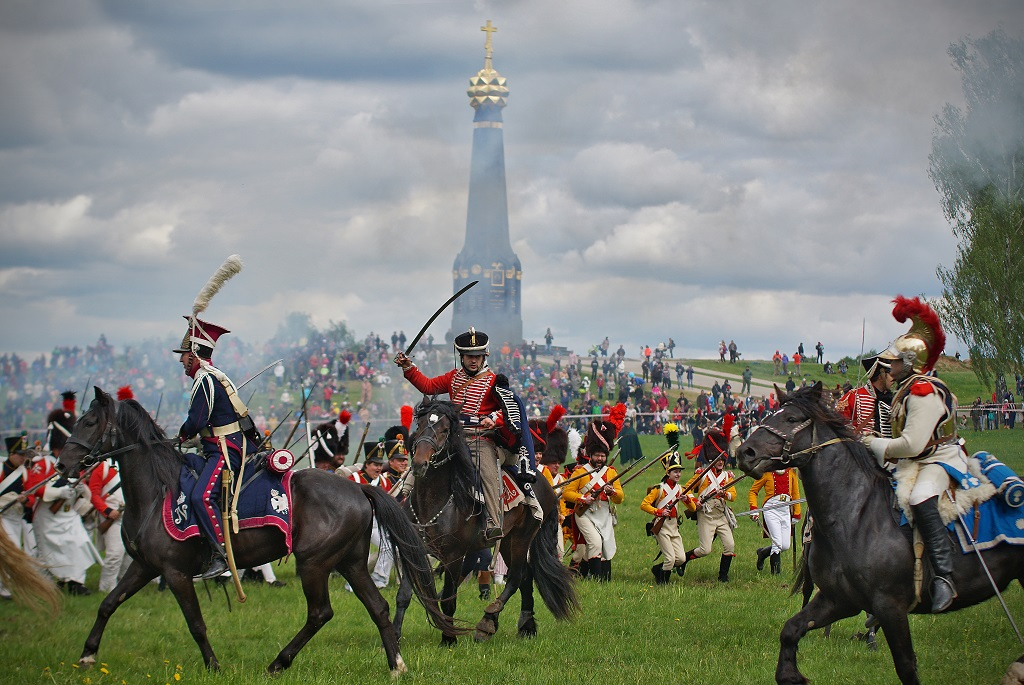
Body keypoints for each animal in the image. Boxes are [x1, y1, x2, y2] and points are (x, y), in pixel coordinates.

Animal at [54, 387, 458, 675]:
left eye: (89, 422)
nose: (63, 464)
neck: (157, 491)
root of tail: (358, 488)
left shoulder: (176, 573)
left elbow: (195, 623)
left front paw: (213, 666)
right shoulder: (144, 566)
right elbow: (108, 603)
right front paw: (88, 654)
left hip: (314, 563)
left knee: (321, 613)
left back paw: (280, 661)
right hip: (350, 563)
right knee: (377, 607)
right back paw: (396, 665)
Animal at [391, 397, 581, 643]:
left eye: (445, 430)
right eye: (420, 425)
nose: (419, 464)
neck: (432, 503)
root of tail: (546, 485)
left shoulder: (453, 557)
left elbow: (449, 599)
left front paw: (449, 638)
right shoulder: (412, 549)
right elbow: (403, 595)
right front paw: (394, 635)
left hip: (521, 539)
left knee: (517, 576)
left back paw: (488, 621)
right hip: (508, 542)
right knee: (526, 577)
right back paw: (525, 625)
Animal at [737, 384, 1024, 683]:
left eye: (791, 418)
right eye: (770, 414)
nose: (745, 452)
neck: (855, 514)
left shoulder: (890, 606)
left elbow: (906, 665)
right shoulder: (838, 600)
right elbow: (791, 629)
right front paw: (791, 673)